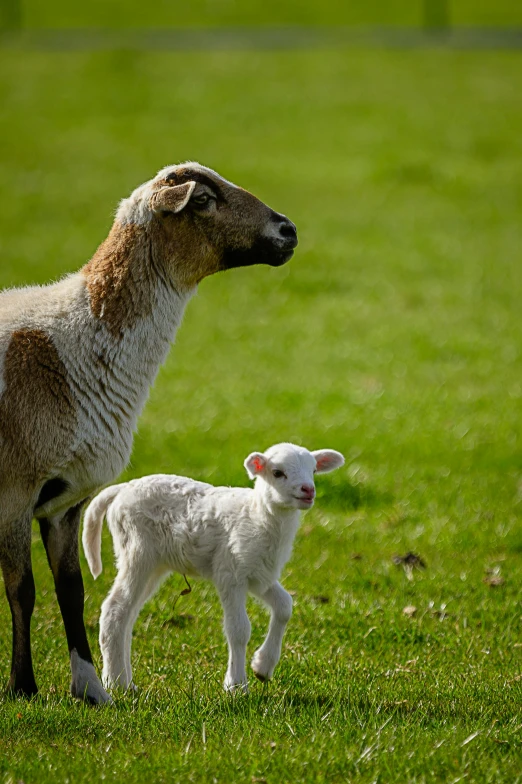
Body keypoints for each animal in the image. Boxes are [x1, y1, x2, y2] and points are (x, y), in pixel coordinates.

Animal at [0, 161, 296, 704]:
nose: (288, 232)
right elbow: (22, 589)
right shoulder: (15, 488)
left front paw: (90, 688)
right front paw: (22, 686)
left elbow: (71, 590)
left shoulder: (64, 500)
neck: (73, 344)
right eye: (202, 199)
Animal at [81, 440, 344, 692]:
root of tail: (122, 489)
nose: (308, 490)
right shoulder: (230, 571)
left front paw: (262, 667)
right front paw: (236, 685)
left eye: (313, 470)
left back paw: (127, 682)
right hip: (137, 551)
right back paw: (115, 683)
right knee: (114, 609)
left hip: (154, 564)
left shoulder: (259, 574)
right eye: (278, 473)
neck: (258, 517)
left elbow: (284, 606)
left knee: (128, 615)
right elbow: (238, 629)